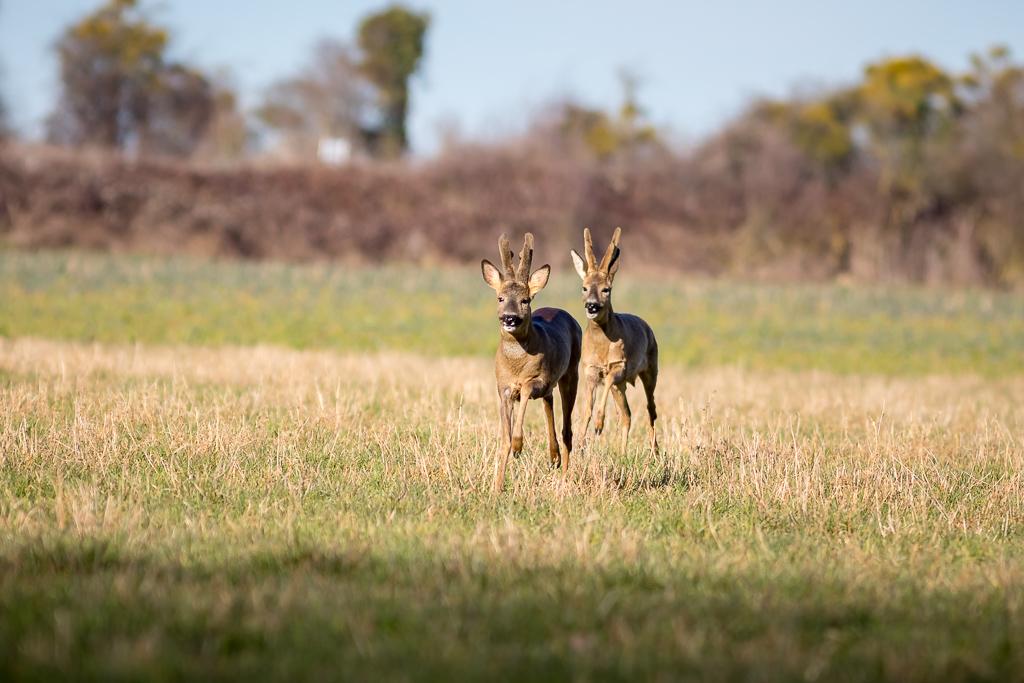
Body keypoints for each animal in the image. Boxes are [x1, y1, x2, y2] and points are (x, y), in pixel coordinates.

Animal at [481, 233, 581, 491]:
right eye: (500, 298)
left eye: (525, 300)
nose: (510, 318)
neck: (516, 364)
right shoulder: (503, 388)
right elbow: (503, 440)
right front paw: (497, 487)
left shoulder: (539, 379)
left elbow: (525, 392)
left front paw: (519, 446)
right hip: (552, 386)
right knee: (550, 405)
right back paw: (554, 457)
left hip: (571, 374)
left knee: (567, 429)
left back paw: (564, 478)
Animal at [573, 227, 659, 454]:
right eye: (584, 287)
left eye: (606, 289)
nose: (592, 306)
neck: (602, 347)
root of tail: (648, 327)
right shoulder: (590, 369)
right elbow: (586, 409)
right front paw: (580, 444)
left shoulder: (619, 366)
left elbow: (603, 397)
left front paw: (599, 425)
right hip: (621, 386)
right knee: (626, 415)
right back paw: (622, 452)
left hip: (651, 370)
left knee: (651, 409)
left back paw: (655, 451)